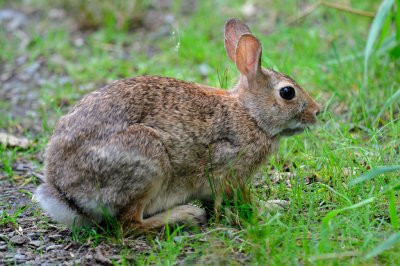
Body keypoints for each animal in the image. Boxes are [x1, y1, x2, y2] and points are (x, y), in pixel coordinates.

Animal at [34, 18, 322, 231]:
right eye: (287, 93)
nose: (317, 112)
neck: (250, 114)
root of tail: (65, 193)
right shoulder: (230, 171)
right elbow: (242, 200)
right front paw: (270, 207)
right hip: (147, 160)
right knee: (129, 224)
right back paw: (185, 215)